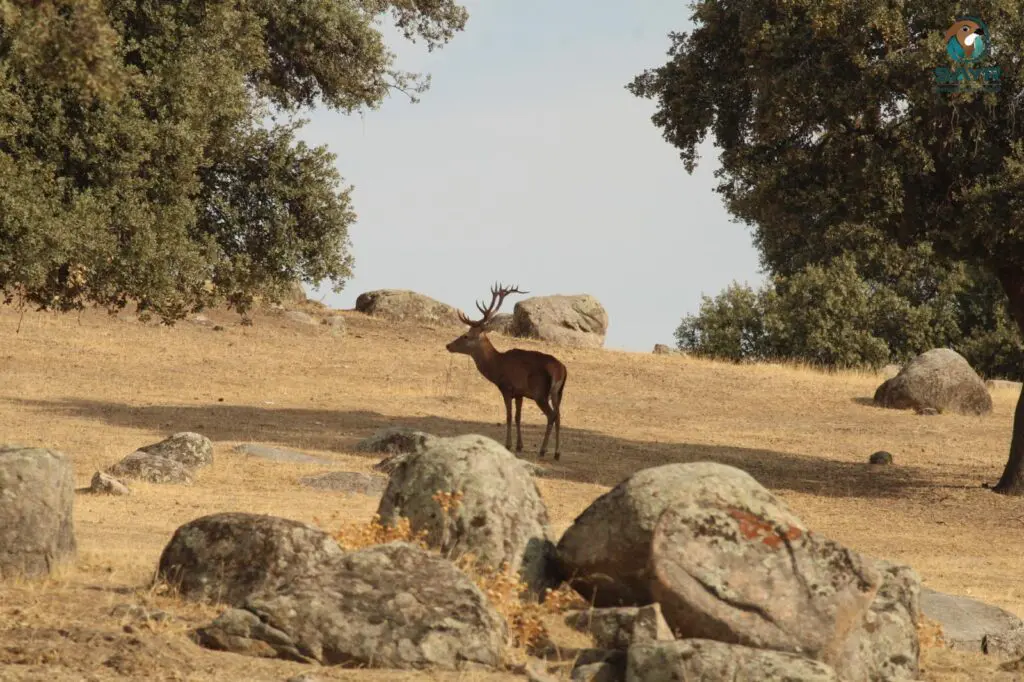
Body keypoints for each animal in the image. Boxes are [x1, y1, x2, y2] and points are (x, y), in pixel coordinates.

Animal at [446, 283, 568, 461]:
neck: (497, 366)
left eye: (466, 336)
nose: (448, 345)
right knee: (558, 416)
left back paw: (543, 450)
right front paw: (519, 446)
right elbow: (518, 417)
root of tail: (561, 369)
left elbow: (509, 416)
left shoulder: (507, 387)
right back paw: (557, 453)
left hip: (540, 392)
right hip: (558, 392)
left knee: (551, 415)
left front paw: (508, 445)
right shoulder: (520, 393)